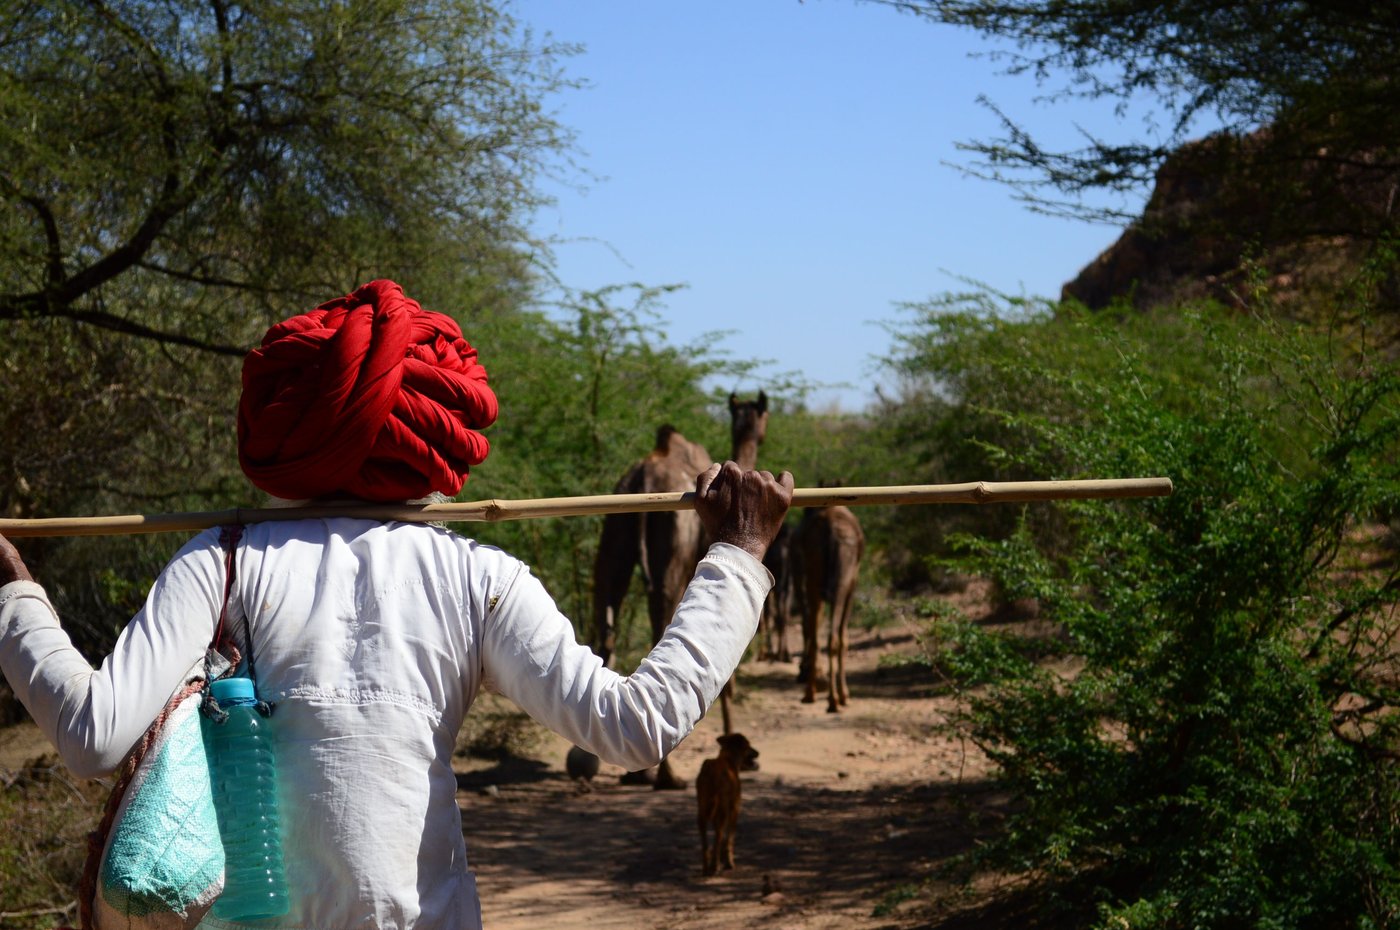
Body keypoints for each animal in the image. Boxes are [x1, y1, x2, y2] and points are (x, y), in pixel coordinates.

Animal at [588, 389, 772, 789]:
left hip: (614, 534)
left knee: (605, 618)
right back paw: (665, 775)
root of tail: (642, 477)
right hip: (670, 550)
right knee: (659, 621)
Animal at [694, 728, 761, 873]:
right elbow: (729, 838)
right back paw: (714, 866)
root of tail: (711, 772)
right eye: (749, 745)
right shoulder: (735, 808)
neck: (728, 759)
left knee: (705, 841)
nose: (758, 752)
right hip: (722, 810)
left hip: (702, 809)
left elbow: (724, 839)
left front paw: (723, 858)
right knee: (719, 835)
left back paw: (706, 867)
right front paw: (728, 861)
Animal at [795, 501, 856, 711]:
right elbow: (844, 636)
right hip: (836, 584)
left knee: (817, 635)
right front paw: (844, 695)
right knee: (831, 636)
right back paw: (830, 699)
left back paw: (819, 695)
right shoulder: (853, 586)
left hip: (815, 582)